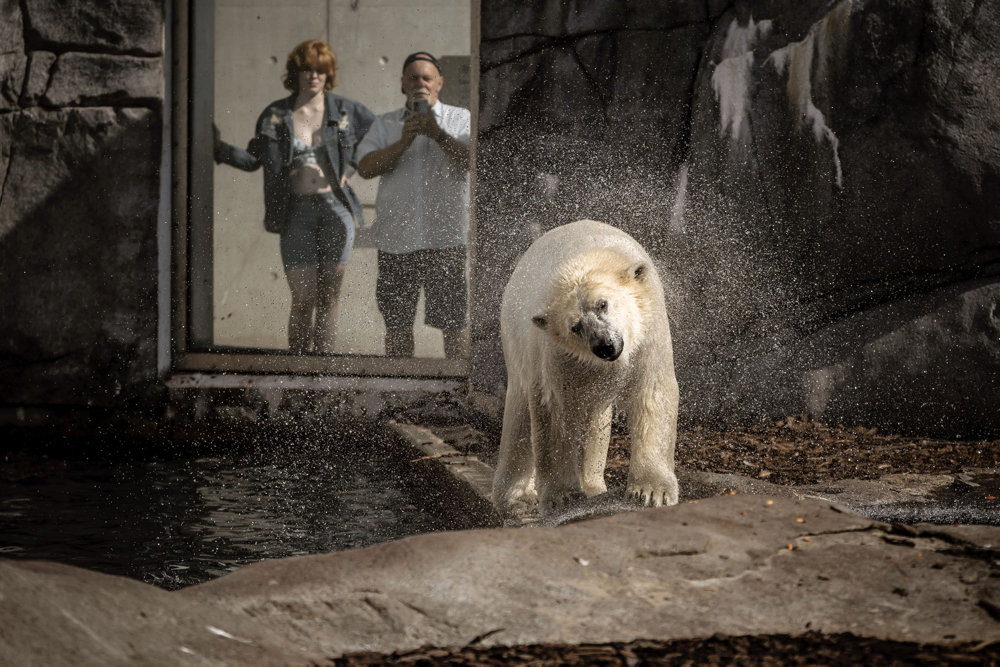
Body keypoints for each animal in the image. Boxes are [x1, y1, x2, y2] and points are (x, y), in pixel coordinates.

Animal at [492, 222, 680, 520]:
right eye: (575, 327)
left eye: (603, 303)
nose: (604, 345)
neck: (587, 258)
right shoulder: (557, 356)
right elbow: (556, 412)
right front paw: (562, 497)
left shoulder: (649, 330)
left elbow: (651, 393)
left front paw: (651, 492)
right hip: (516, 344)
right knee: (521, 414)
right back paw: (516, 498)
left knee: (594, 418)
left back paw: (593, 486)